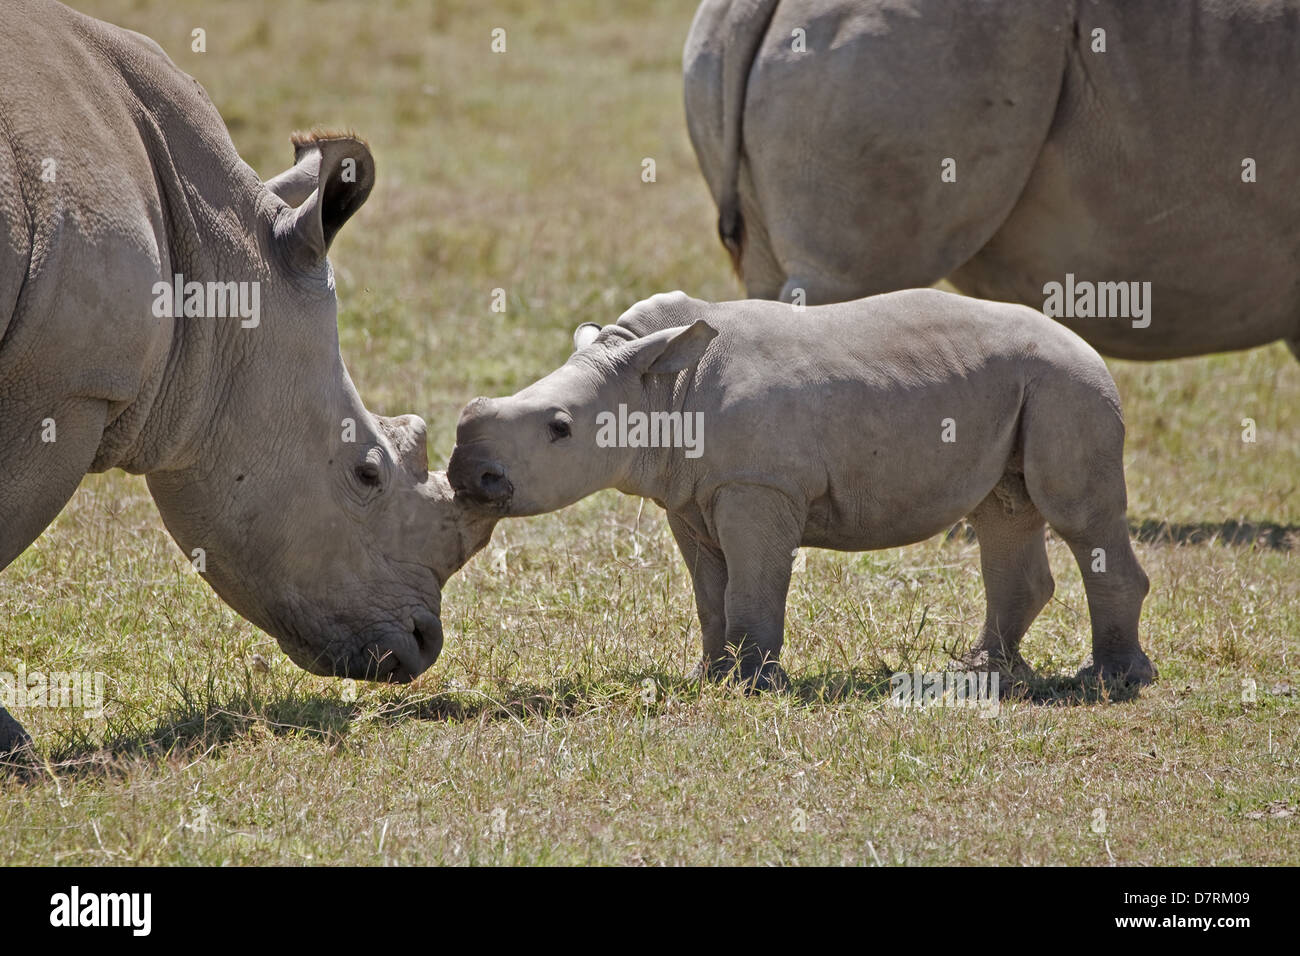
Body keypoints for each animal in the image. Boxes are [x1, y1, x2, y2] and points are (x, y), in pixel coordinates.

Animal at [449, 287, 1159, 691]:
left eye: (559, 428)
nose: (466, 477)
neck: (656, 385)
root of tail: (1082, 342)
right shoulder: (688, 494)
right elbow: (710, 593)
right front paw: (710, 675)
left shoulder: (758, 485)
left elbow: (750, 584)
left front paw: (752, 686)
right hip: (1026, 384)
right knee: (1003, 511)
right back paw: (980, 673)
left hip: (1069, 382)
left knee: (1077, 515)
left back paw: (1110, 680)